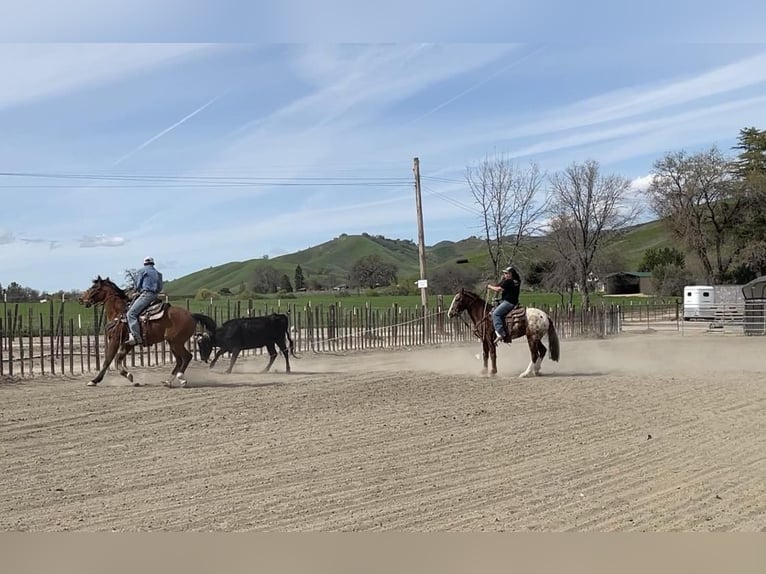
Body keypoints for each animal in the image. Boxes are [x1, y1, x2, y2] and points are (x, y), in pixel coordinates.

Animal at [79, 276, 212, 390]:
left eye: (94, 287)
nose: (81, 299)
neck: (119, 312)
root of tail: (192, 315)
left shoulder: (115, 340)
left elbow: (108, 360)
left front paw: (94, 381)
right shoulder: (128, 343)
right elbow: (118, 359)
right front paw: (128, 375)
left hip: (176, 342)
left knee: (186, 357)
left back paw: (181, 379)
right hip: (173, 343)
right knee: (180, 360)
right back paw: (168, 381)